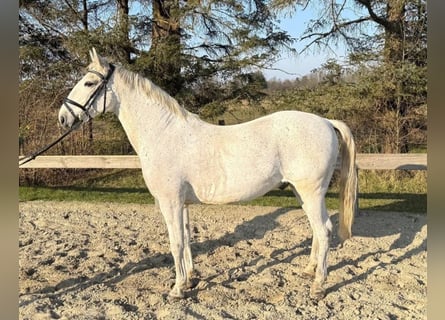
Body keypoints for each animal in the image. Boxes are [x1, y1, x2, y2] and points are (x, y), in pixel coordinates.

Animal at [59, 47, 358, 300]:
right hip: (301, 193)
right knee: (317, 231)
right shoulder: (182, 204)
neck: (164, 133)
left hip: (311, 192)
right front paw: (190, 279)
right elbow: (187, 239)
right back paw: (308, 271)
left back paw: (318, 286)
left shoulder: (170, 202)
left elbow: (176, 243)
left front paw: (177, 289)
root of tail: (325, 121)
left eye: (89, 83)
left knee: (324, 230)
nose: (63, 117)